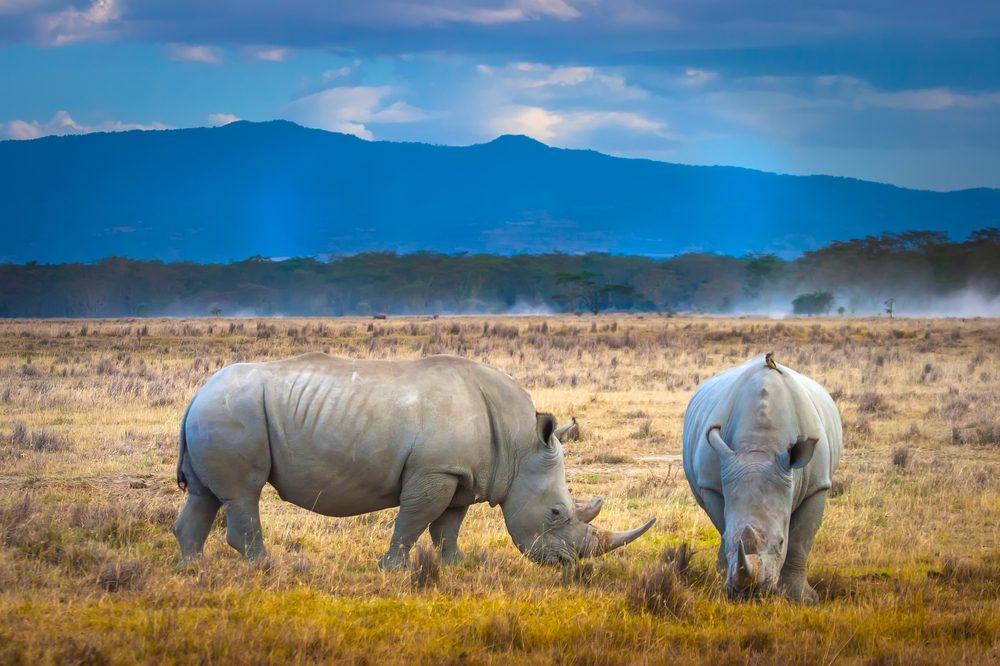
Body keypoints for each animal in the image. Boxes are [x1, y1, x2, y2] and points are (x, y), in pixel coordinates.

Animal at [173, 353, 654, 568]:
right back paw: (265, 566)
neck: (520, 445)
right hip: (232, 413)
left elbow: (448, 525)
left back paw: (191, 568)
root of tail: (196, 393)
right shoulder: (434, 470)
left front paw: (456, 564)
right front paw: (396, 568)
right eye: (555, 512)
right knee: (243, 493)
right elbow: (415, 519)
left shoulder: (463, 473)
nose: (567, 563)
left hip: (216, 413)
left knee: (204, 495)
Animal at [682, 354, 842, 604]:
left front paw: (802, 599)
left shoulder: (817, 486)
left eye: (781, 542)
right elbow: (722, 525)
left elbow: (799, 541)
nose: (750, 594)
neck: (760, 448)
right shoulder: (712, 484)